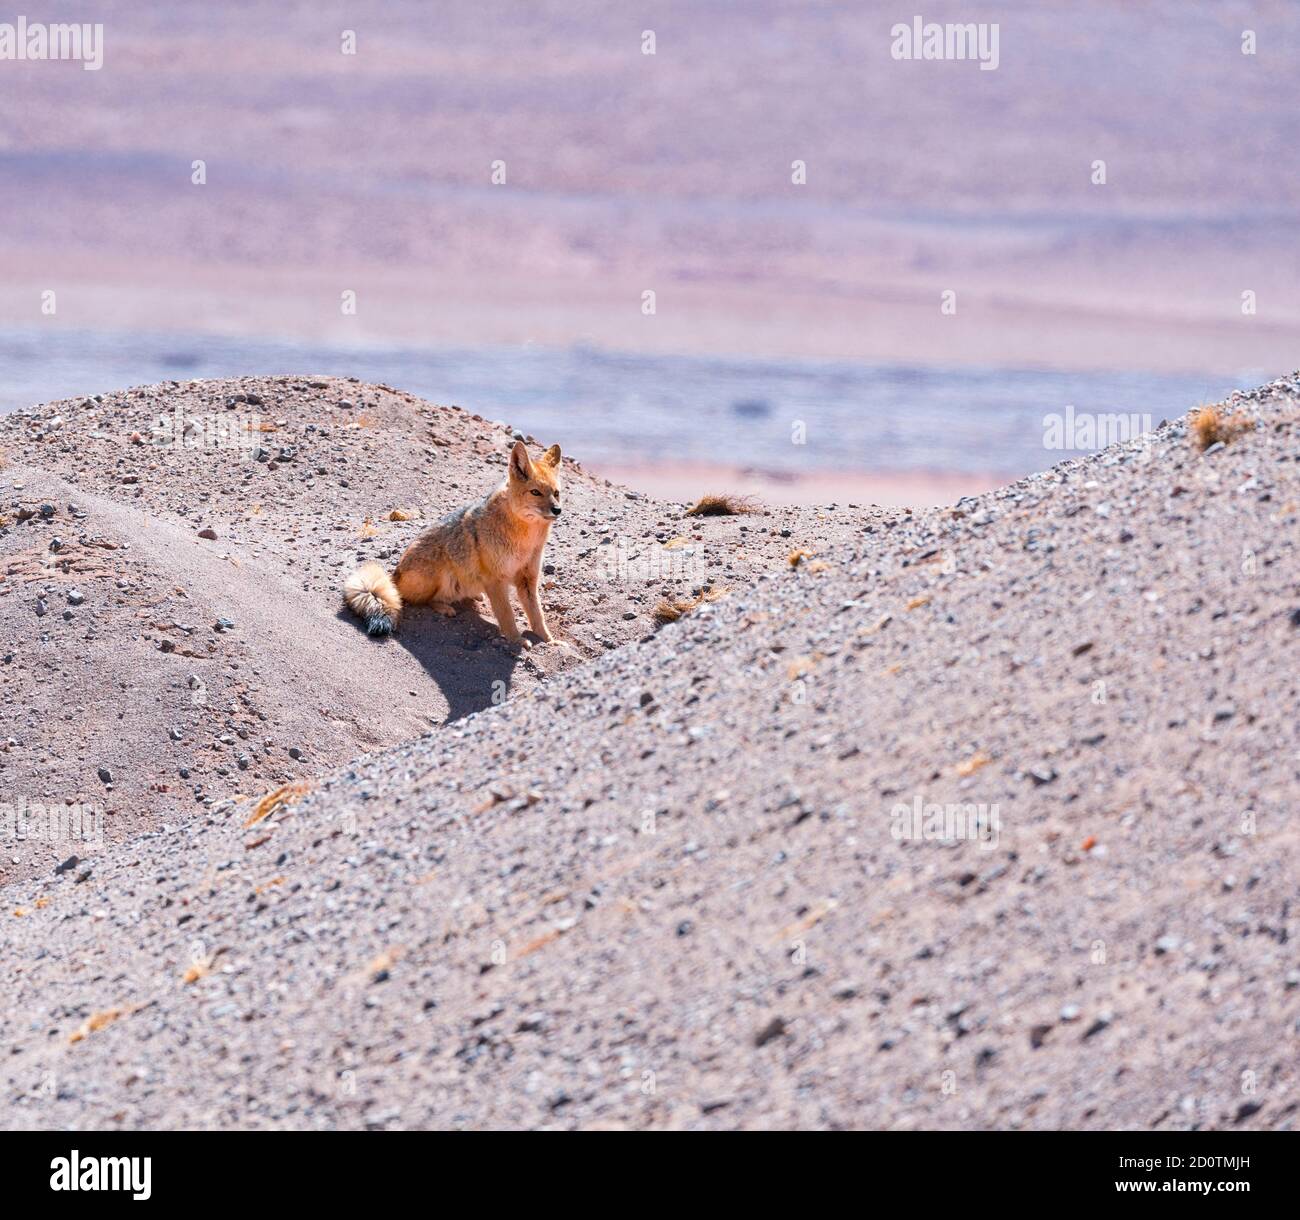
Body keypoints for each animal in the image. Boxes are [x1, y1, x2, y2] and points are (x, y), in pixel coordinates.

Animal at [343, 439, 563, 645]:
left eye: (556, 493)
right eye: (535, 492)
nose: (557, 510)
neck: (525, 541)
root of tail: (394, 575)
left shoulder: (527, 579)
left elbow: (537, 615)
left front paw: (550, 641)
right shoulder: (496, 580)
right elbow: (507, 615)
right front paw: (516, 640)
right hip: (439, 576)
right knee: (421, 600)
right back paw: (445, 607)